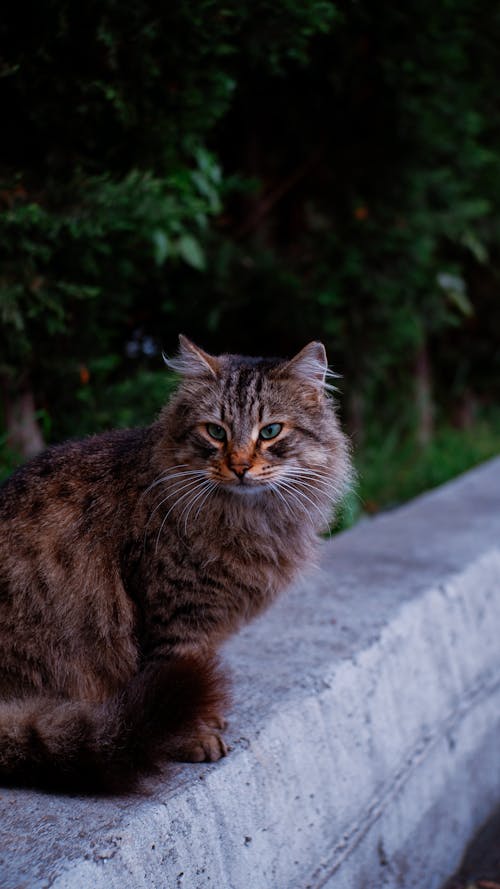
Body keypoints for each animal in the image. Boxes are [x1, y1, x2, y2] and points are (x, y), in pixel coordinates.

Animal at [0, 334, 352, 792]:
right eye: (216, 432)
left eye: (271, 431)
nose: (240, 466)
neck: (247, 518)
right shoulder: (176, 611)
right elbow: (180, 668)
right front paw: (193, 737)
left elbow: (197, 674)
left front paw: (209, 715)